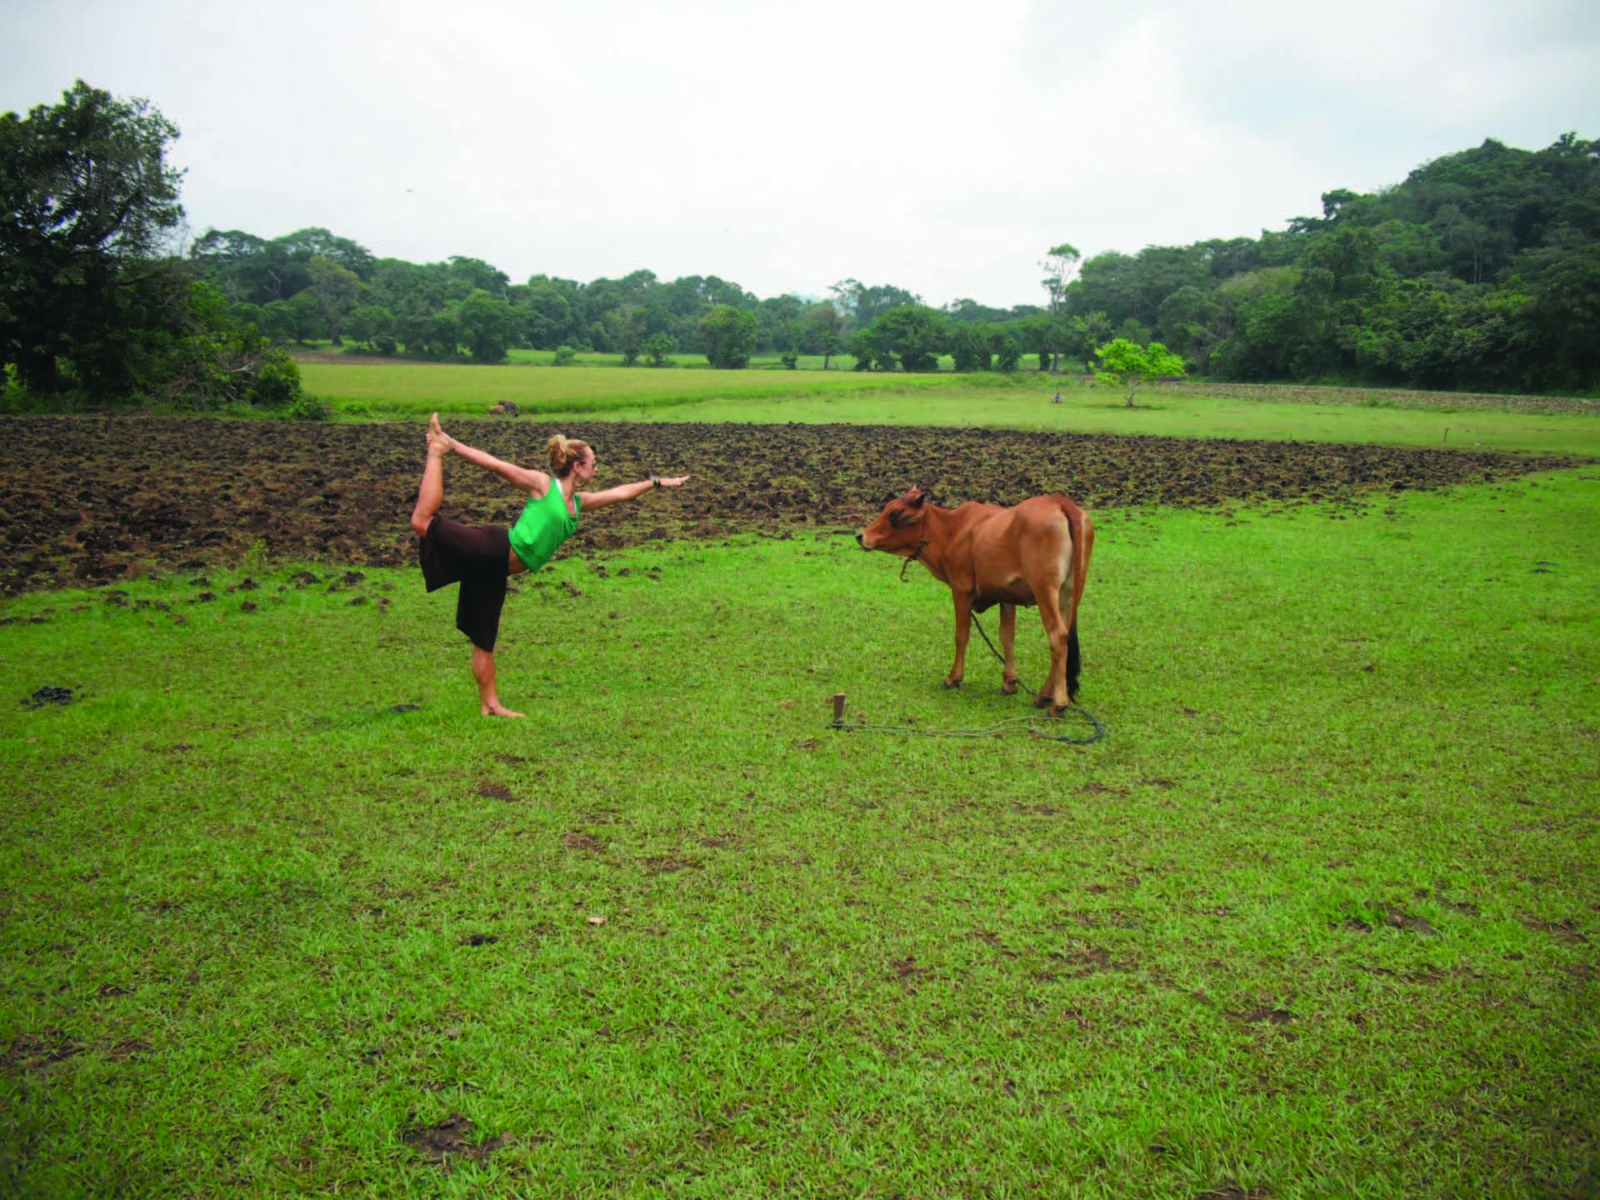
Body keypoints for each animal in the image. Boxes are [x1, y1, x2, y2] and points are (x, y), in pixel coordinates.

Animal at [857, 489, 1094, 713]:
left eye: (895, 513)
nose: (860, 536)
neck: (951, 529)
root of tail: (1059, 501)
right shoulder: (1007, 596)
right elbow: (1007, 637)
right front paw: (1009, 683)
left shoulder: (961, 589)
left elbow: (962, 635)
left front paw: (953, 678)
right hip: (1069, 593)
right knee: (1065, 637)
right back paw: (1044, 695)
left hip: (1045, 589)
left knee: (1058, 636)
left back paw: (1057, 703)